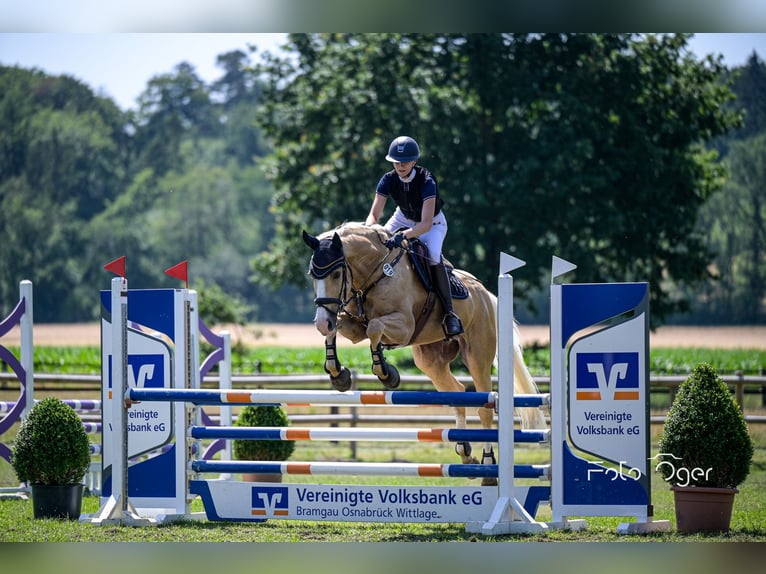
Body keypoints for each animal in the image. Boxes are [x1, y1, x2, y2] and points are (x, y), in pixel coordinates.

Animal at [304, 223, 548, 484]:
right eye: (312, 275)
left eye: (336, 275)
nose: (321, 322)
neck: (374, 271)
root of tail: (486, 295)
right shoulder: (352, 325)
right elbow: (340, 328)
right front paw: (338, 374)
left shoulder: (403, 326)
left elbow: (375, 328)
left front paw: (386, 373)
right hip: (431, 360)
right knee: (457, 393)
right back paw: (466, 454)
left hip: (477, 356)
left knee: (484, 406)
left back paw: (488, 469)